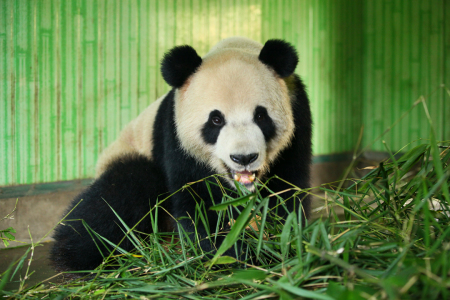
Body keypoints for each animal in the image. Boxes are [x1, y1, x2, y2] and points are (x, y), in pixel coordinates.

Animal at [49, 37, 310, 272]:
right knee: (120, 193)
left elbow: (287, 191)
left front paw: (279, 240)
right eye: (216, 120)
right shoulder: (176, 136)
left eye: (260, 116)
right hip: (130, 152)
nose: (243, 158)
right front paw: (236, 252)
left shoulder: (297, 120)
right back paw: (75, 253)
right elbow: (198, 204)